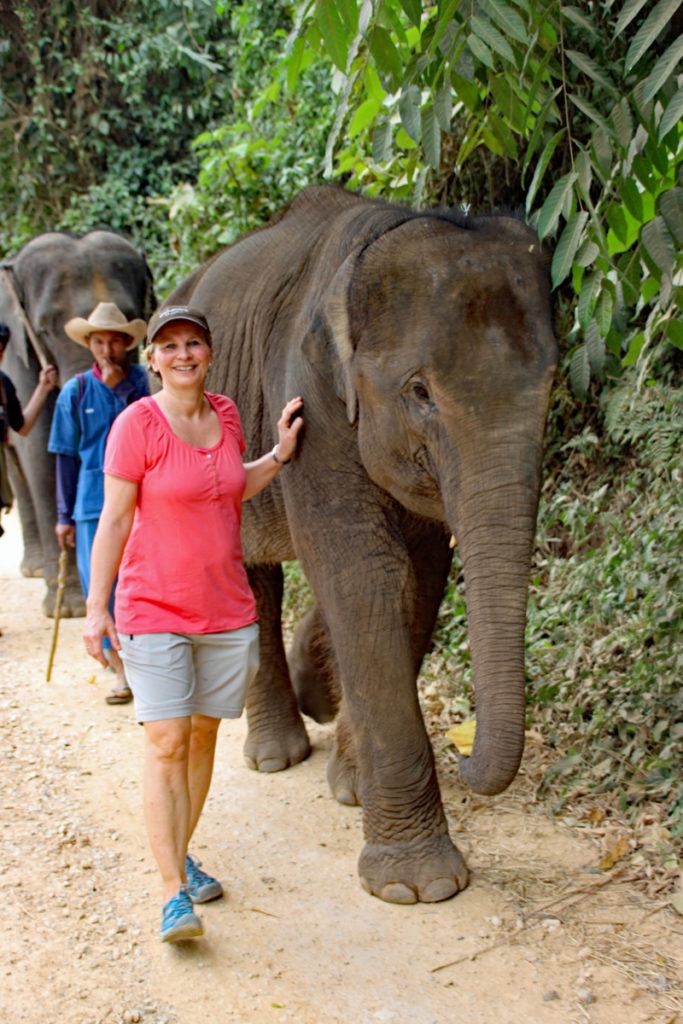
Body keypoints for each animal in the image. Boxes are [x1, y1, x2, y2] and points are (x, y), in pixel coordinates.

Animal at [0, 230, 155, 616]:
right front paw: (67, 608)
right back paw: (36, 570)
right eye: (43, 328)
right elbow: (40, 450)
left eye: (133, 317)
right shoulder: (20, 355)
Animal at [164, 185, 558, 904]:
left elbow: (417, 578)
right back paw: (274, 758)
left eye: (549, 385)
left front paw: (350, 788)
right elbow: (364, 574)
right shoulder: (307, 404)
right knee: (252, 576)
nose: (463, 752)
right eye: (420, 392)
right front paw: (418, 887)